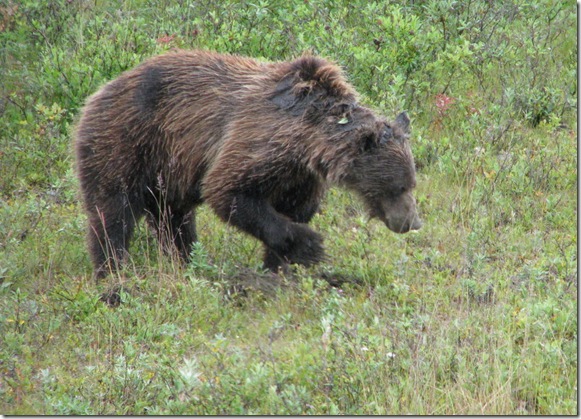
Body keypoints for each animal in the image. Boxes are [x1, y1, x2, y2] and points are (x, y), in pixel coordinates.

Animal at [76, 49, 422, 278]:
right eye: (399, 186)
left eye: (411, 183)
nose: (413, 222)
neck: (308, 142)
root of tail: (98, 91)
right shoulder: (258, 140)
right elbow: (229, 191)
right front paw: (310, 245)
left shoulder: (300, 175)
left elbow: (294, 209)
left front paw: (279, 265)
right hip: (127, 142)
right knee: (113, 212)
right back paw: (112, 273)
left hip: (169, 172)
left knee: (173, 220)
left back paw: (188, 262)